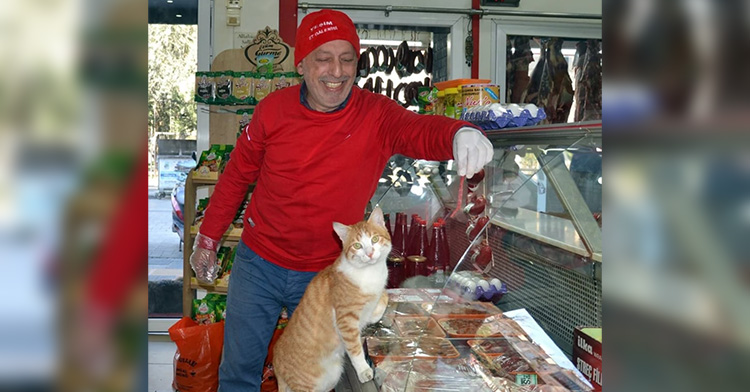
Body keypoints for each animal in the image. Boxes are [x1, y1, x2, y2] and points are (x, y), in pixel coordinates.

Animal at [276, 207, 394, 390]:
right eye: (358, 246)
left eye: (374, 239)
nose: (370, 253)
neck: (370, 273)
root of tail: (276, 363)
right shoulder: (346, 321)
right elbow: (355, 350)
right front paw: (363, 370)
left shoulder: (368, 310)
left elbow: (382, 301)